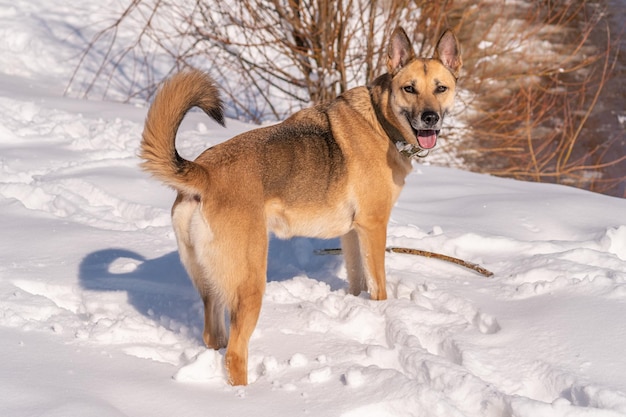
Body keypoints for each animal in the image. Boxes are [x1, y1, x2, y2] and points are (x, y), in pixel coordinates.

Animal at [140, 26, 458, 384]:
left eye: (440, 88)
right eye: (409, 88)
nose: (430, 117)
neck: (381, 121)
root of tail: (203, 172)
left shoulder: (351, 234)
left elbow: (357, 280)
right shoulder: (373, 227)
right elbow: (378, 286)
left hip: (212, 286)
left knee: (213, 337)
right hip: (250, 284)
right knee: (235, 353)